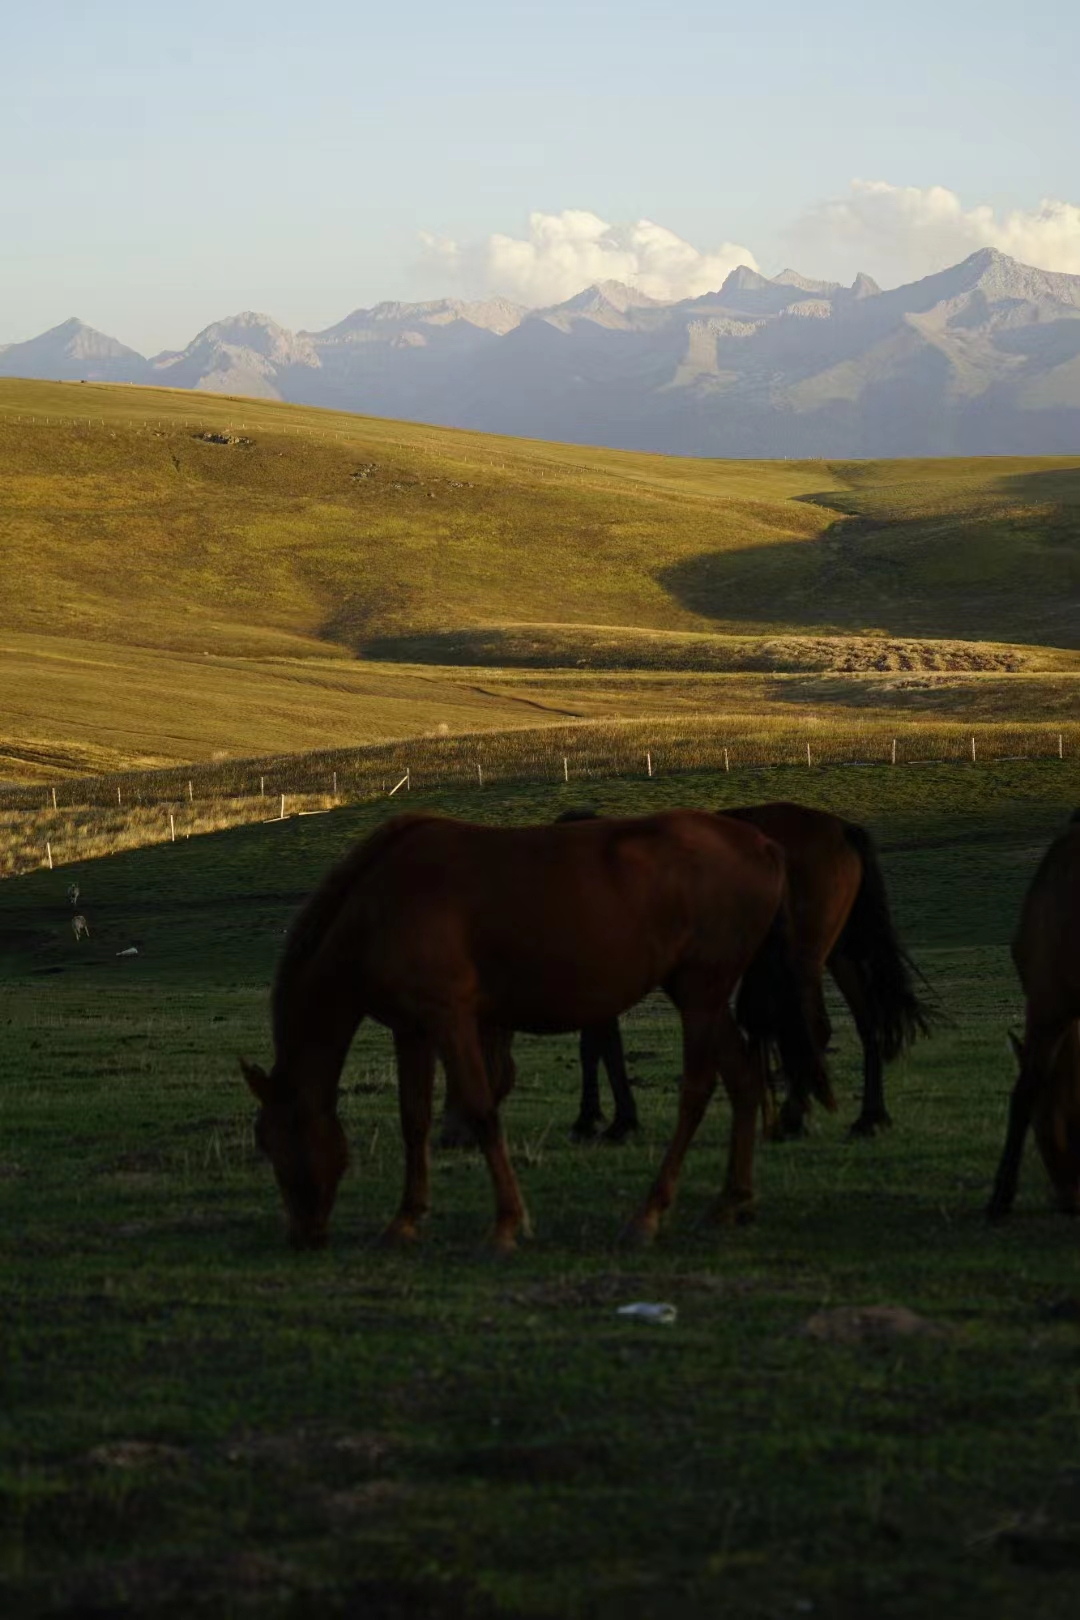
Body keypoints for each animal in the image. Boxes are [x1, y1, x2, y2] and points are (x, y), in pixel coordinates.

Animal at [241, 809, 833, 1251]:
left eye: (274, 1141)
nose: (304, 1235)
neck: (379, 904)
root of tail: (761, 843)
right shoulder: (412, 1029)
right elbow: (414, 1120)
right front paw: (405, 1219)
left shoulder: (450, 1018)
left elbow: (481, 1110)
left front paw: (506, 1223)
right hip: (703, 999)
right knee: (744, 1081)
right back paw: (732, 1200)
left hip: (700, 994)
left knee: (698, 1090)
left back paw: (649, 1212)